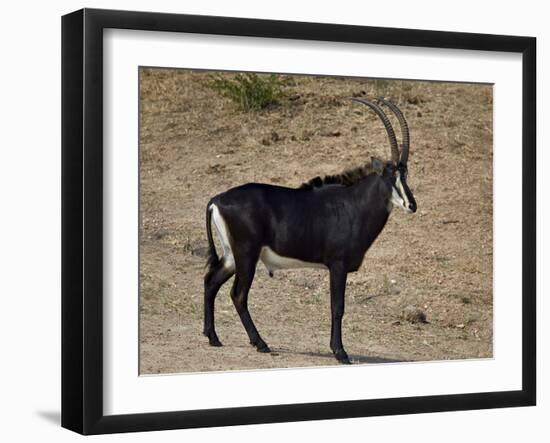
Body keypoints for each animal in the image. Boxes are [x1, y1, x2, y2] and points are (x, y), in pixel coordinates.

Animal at [204, 97, 418, 364]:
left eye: (405, 175)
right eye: (390, 177)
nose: (412, 205)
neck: (353, 204)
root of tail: (217, 199)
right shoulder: (337, 265)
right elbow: (337, 307)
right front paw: (340, 352)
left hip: (232, 256)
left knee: (211, 282)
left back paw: (213, 337)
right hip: (247, 255)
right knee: (238, 294)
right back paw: (260, 343)